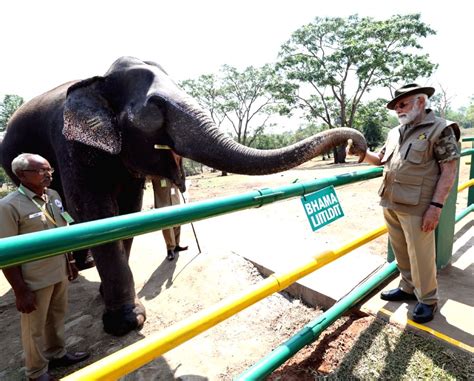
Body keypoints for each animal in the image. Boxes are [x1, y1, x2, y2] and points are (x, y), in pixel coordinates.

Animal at [0, 56, 366, 336]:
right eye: (155, 106)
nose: (358, 146)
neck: (99, 80)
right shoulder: (70, 144)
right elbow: (94, 211)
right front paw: (126, 323)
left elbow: (127, 211)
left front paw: (111, 300)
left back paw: (84, 266)